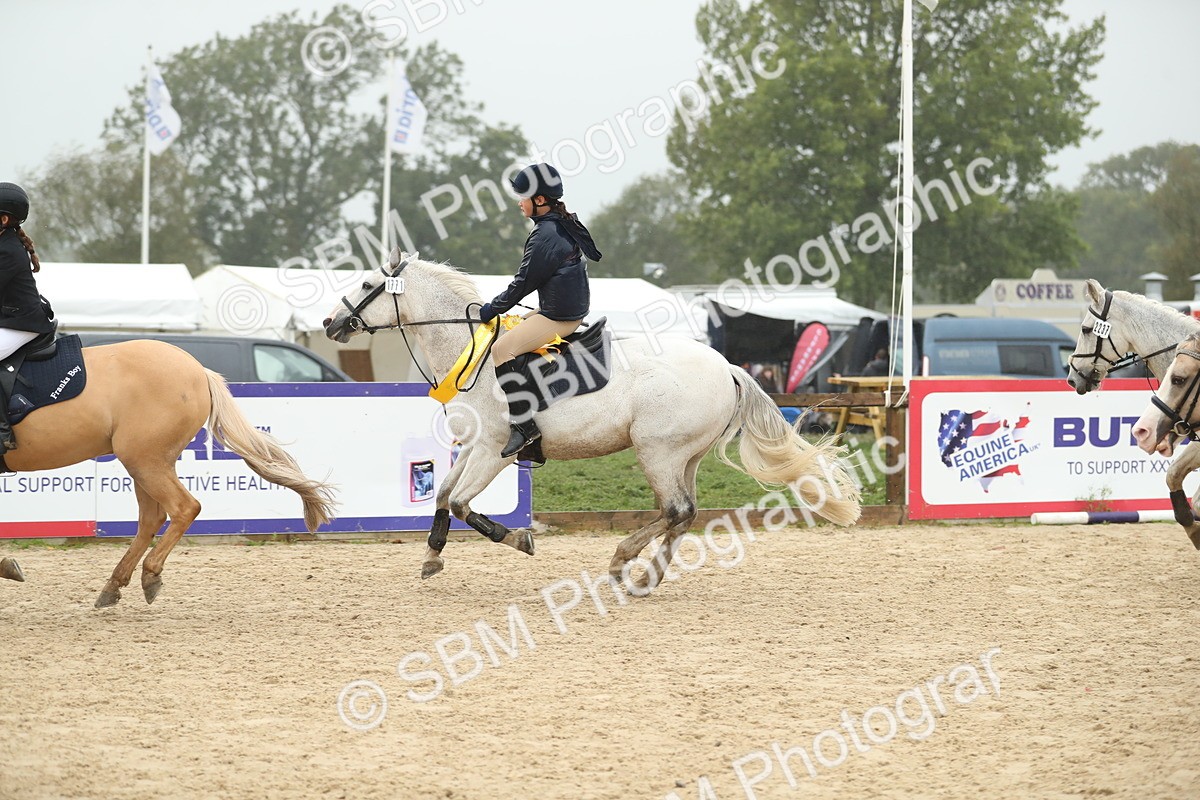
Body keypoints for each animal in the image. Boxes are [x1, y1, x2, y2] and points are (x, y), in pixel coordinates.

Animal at [3, 339, 337, 606]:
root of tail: (199, 370)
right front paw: (9, 566)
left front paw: (7, 567)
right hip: (146, 462)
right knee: (152, 519)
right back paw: (115, 584)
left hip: (144, 460)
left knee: (184, 508)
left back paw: (148, 575)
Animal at [323, 250, 862, 594]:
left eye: (368, 286)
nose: (331, 323)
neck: (468, 351)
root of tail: (725, 366)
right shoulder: (474, 447)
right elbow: (441, 496)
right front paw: (432, 556)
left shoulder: (495, 450)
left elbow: (460, 503)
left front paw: (519, 539)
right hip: (684, 457)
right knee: (684, 513)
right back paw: (646, 577)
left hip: (657, 451)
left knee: (674, 510)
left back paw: (624, 563)